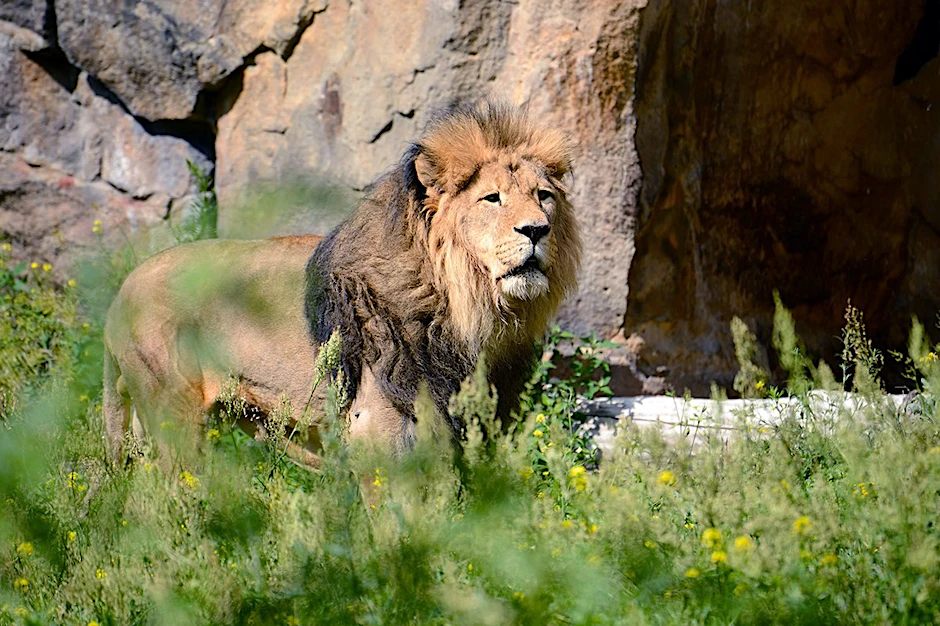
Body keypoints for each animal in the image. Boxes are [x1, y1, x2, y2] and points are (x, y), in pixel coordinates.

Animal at [103, 100, 581, 466]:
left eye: (543, 196)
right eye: (491, 198)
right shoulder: (378, 432)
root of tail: (120, 292)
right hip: (174, 413)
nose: (536, 230)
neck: (468, 307)